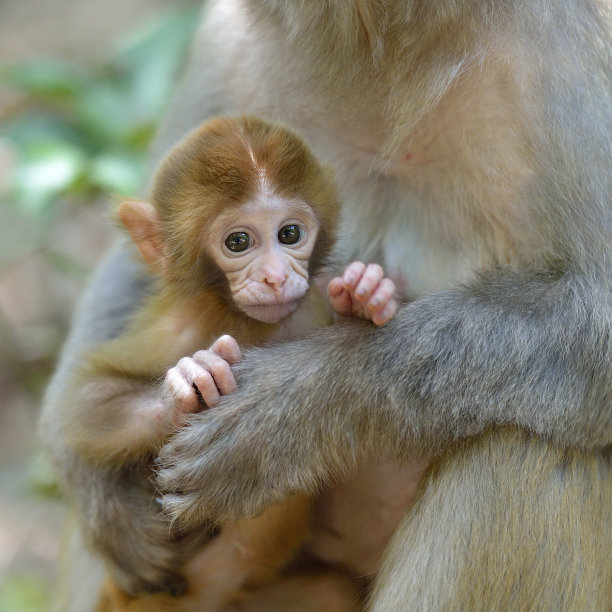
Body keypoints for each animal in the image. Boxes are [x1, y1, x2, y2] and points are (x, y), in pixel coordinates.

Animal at [73, 116, 396, 608]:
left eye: (289, 234)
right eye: (238, 241)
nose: (276, 276)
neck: (246, 322)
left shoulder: (310, 303)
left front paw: (363, 296)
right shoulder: (176, 327)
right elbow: (86, 402)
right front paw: (189, 382)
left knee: (329, 592)